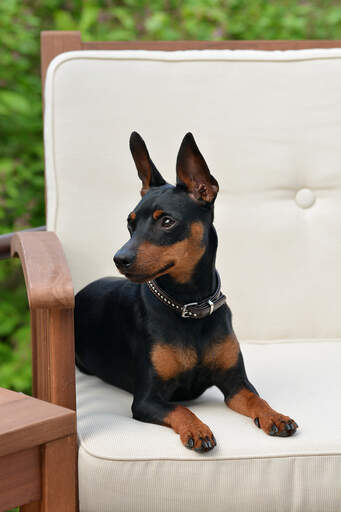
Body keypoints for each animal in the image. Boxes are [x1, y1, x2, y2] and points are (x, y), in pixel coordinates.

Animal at [74, 132, 298, 452]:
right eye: (130, 223)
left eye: (166, 221)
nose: (120, 258)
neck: (190, 305)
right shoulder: (147, 399)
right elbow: (181, 408)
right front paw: (197, 429)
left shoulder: (236, 385)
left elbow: (258, 399)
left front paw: (275, 416)